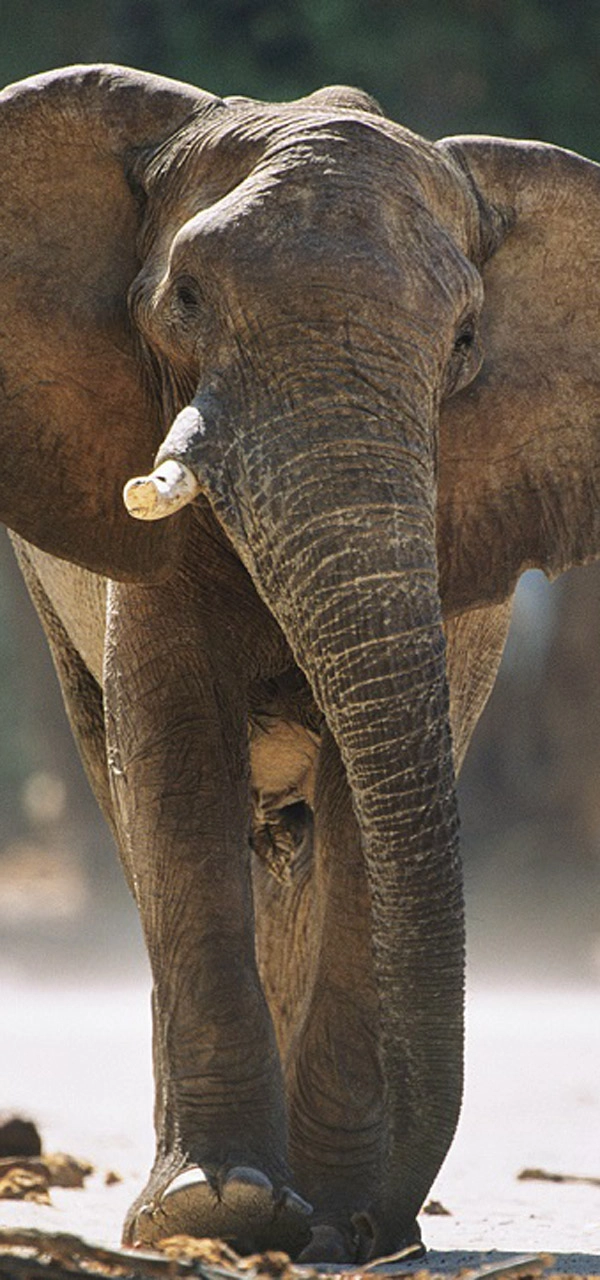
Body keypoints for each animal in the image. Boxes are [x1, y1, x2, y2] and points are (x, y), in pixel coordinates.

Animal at [2, 57, 596, 1259]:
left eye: (465, 340)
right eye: (185, 300)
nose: (377, 1224)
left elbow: (379, 810)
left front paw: (332, 1218)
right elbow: (178, 768)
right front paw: (225, 1205)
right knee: (134, 795)